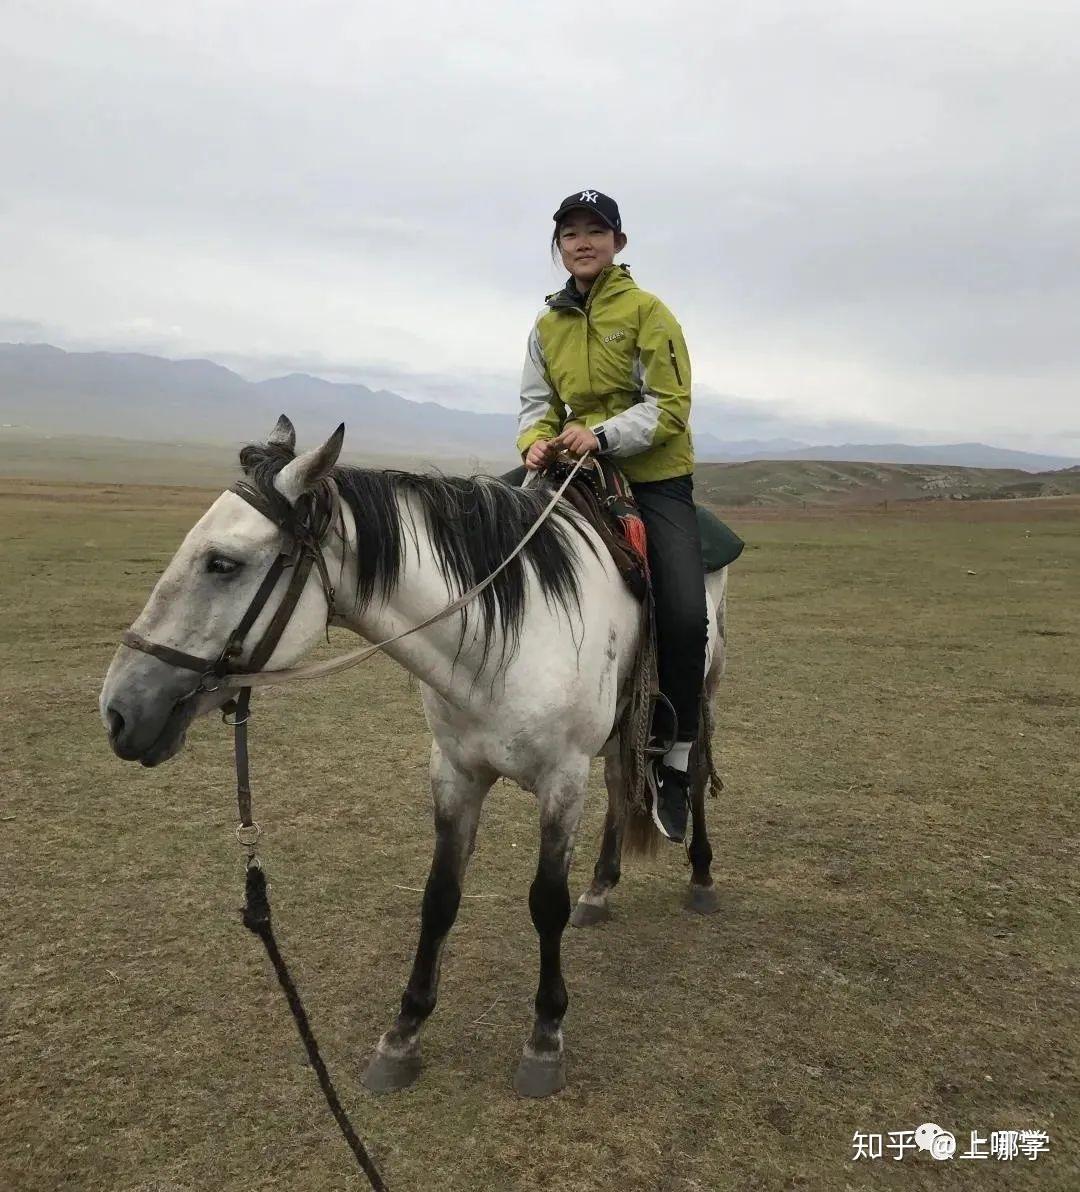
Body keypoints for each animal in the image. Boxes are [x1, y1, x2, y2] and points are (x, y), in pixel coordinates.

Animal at [103, 419, 724, 1096]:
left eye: (222, 563)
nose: (119, 711)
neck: (507, 638)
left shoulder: (563, 778)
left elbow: (545, 902)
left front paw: (544, 1039)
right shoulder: (454, 772)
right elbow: (439, 896)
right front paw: (402, 1035)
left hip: (700, 686)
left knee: (690, 773)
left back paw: (699, 873)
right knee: (619, 787)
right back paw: (601, 889)